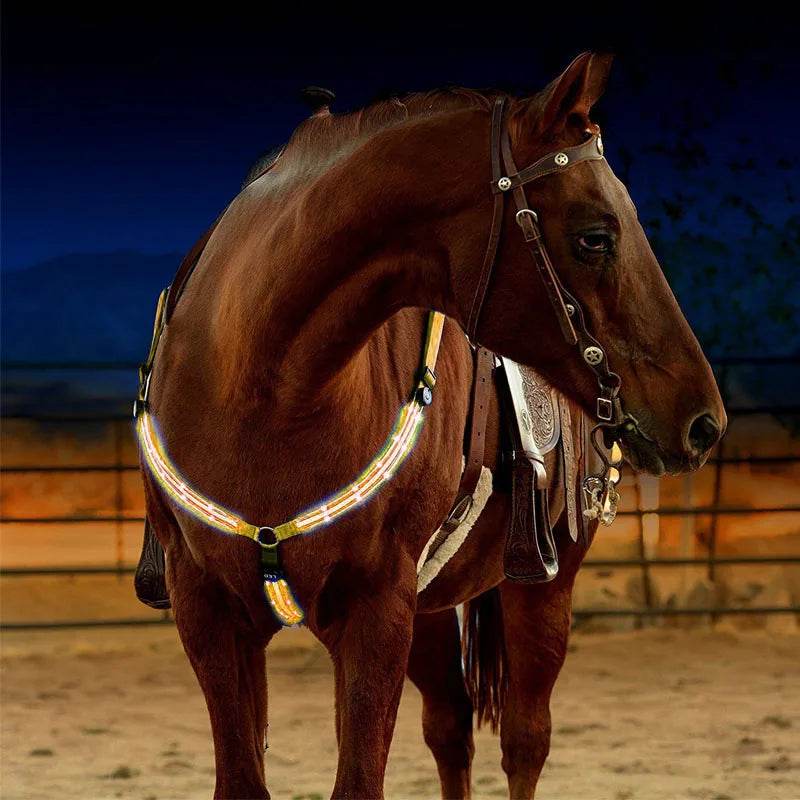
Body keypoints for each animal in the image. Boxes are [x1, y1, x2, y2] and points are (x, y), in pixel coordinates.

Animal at [139, 52, 725, 798]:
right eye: (595, 236)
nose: (703, 421)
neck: (262, 390)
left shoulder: (376, 611)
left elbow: (361, 779)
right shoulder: (209, 611)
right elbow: (246, 777)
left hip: (542, 587)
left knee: (525, 741)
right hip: (430, 611)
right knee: (451, 729)